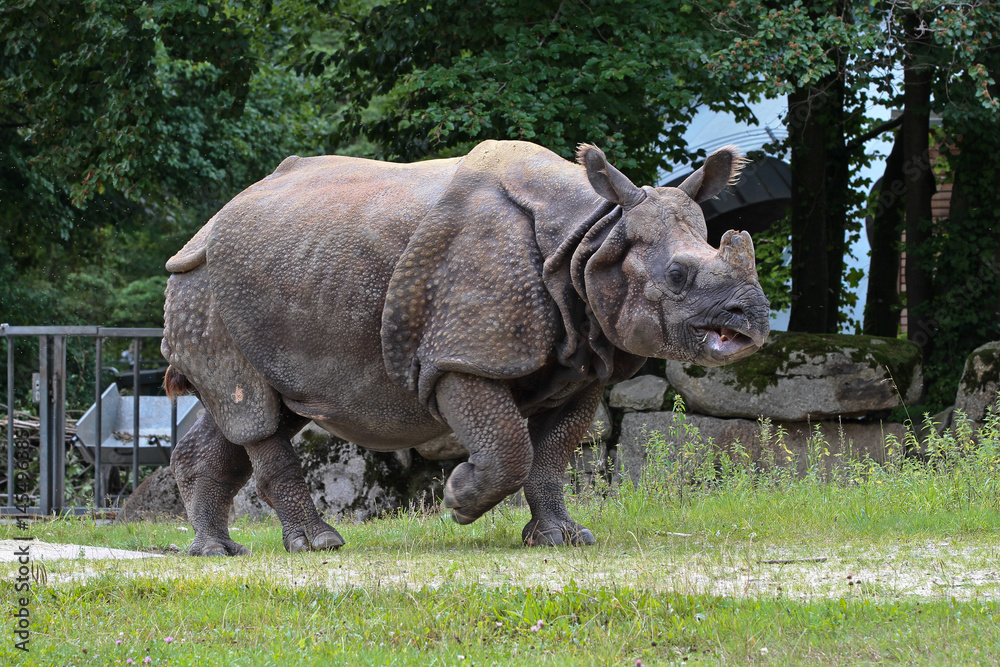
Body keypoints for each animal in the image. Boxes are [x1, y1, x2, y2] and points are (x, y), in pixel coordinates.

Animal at [161, 140, 769, 556]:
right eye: (678, 276)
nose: (755, 320)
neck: (593, 236)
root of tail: (207, 224)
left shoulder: (583, 363)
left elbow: (552, 456)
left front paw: (562, 538)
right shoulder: (460, 357)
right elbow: (509, 446)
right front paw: (458, 499)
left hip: (266, 278)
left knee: (258, 408)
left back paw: (218, 552)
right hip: (204, 283)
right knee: (255, 412)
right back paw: (319, 545)